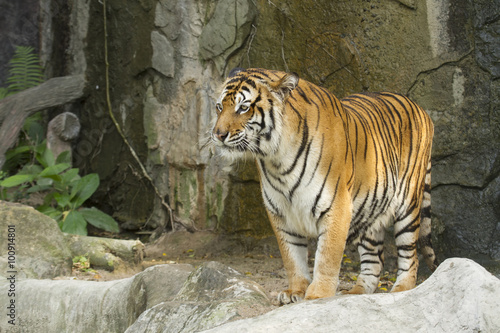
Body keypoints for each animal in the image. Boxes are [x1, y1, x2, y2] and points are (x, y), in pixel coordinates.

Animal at [211, 67, 438, 304]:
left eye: (243, 107)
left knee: (410, 256)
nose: (218, 134)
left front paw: (318, 295)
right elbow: (292, 256)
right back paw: (356, 293)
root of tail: (421, 109)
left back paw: (401, 290)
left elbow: (327, 256)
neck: (277, 160)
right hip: (371, 209)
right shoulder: (280, 212)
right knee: (374, 260)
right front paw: (296, 291)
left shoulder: (337, 205)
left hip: (408, 206)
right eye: (219, 107)